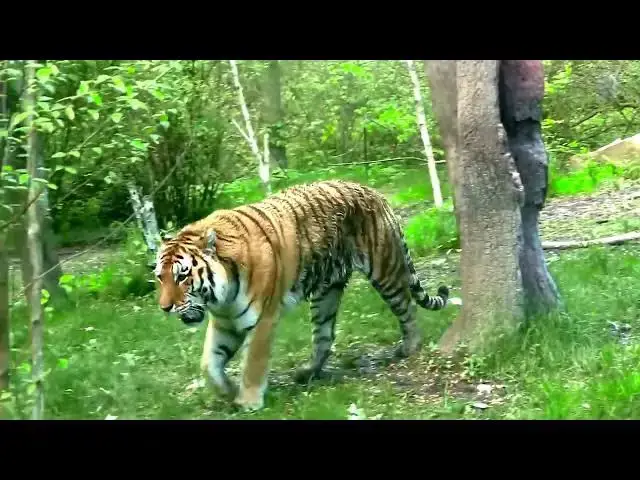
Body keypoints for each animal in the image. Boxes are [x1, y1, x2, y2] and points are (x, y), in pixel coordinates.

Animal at [153, 179, 450, 411]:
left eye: (182, 276)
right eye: (160, 277)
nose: (165, 308)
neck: (220, 297)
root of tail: (373, 191)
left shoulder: (262, 320)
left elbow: (253, 363)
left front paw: (248, 401)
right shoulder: (224, 322)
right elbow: (209, 363)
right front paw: (228, 391)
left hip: (384, 269)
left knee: (407, 308)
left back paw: (410, 347)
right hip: (326, 293)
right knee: (325, 336)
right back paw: (308, 372)